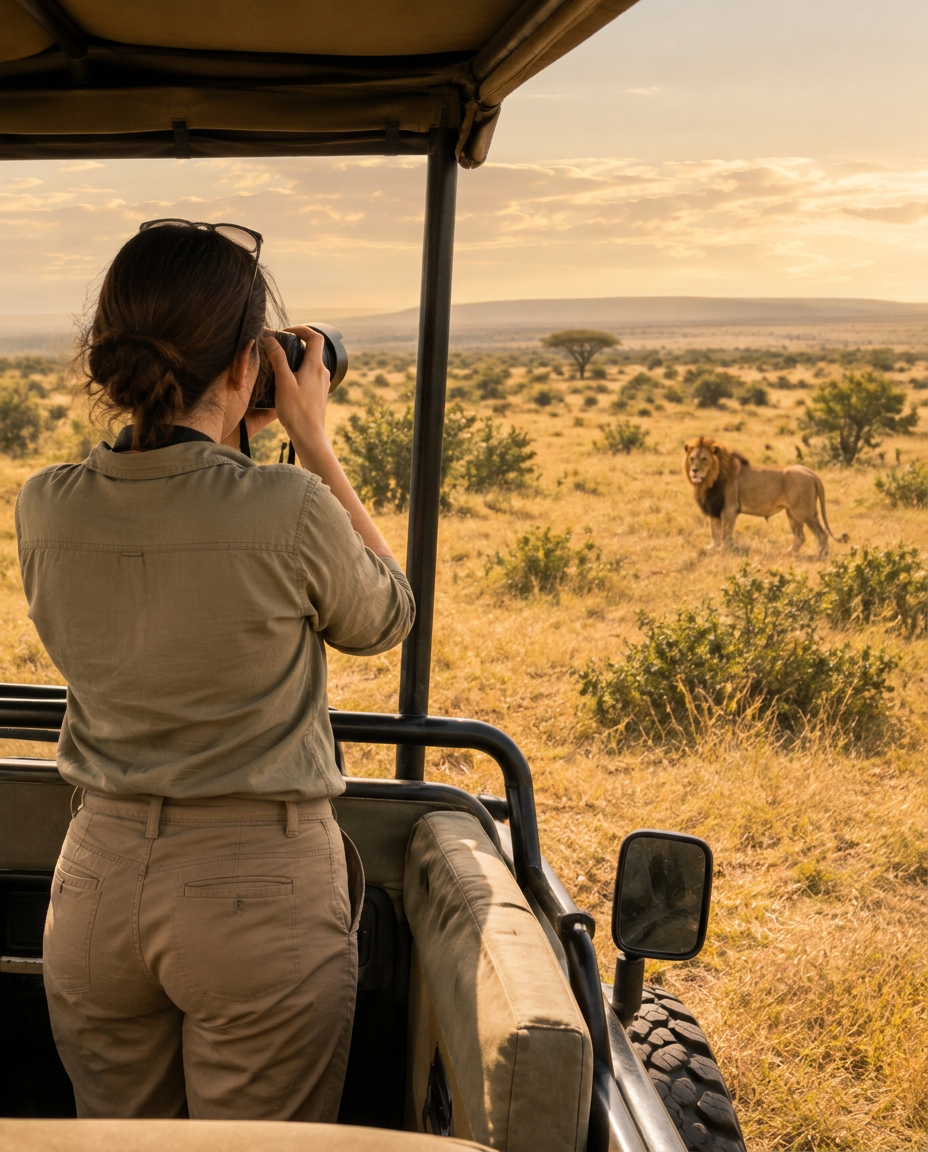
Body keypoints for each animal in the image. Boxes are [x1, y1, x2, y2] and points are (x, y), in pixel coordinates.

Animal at [683, 436, 849, 558]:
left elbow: (725, 532)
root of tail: (811, 473)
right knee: (800, 536)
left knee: (821, 534)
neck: (710, 480)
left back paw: (821, 555)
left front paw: (723, 550)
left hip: (804, 512)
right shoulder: (714, 509)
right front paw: (713, 547)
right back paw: (788, 553)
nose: (694, 471)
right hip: (792, 514)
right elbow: (715, 531)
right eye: (692, 458)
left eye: (704, 458)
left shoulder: (729, 509)